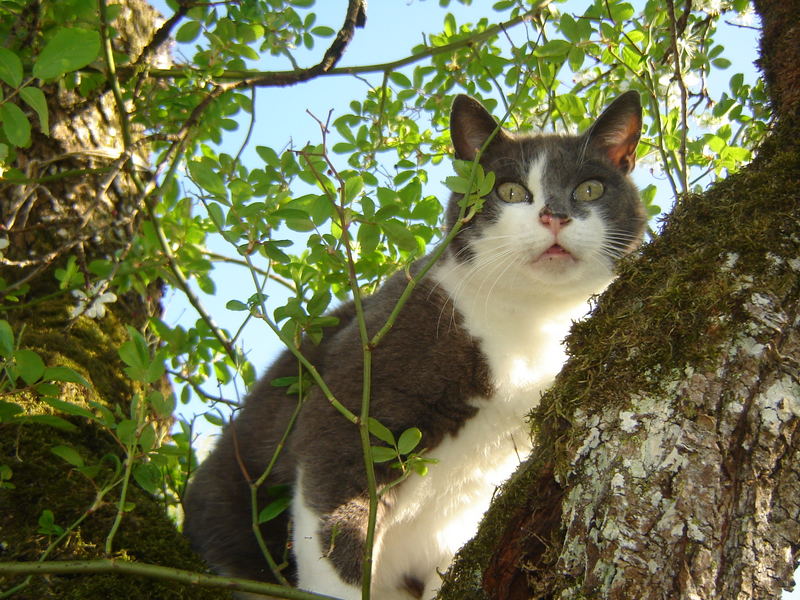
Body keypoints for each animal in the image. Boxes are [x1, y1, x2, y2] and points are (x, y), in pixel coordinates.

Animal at [184, 90, 648, 600]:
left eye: (590, 189)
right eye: (509, 192)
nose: (555, 216)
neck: (528, 325)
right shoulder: (352, 400)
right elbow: (334, 526)